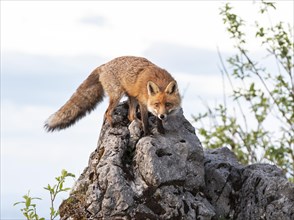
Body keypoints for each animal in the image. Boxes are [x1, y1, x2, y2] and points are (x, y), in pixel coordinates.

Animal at [44, 55, 180, 135]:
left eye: (168, 104)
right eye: (157, 104)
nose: (163, 115)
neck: (159, 80)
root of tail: (104, 65)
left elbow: (157, 121)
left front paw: (161, 130)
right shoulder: (143, 102)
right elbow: (146, 120)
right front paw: (147, 134)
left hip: (131, 97)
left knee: (131, 116)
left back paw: (136, 122)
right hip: (117, 95)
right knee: (107, 112)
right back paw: (112, 125)